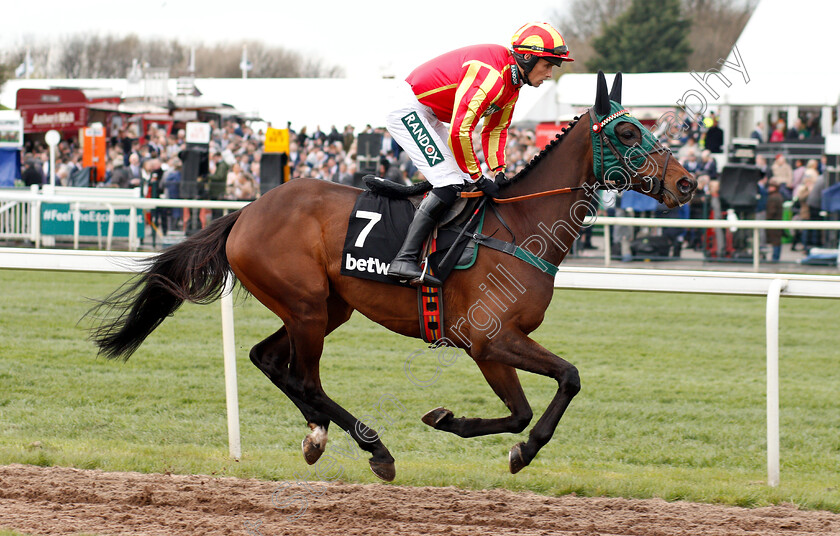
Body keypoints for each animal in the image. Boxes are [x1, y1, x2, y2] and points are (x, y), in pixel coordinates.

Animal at [90, 72, 696, 482]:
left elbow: (523, 410)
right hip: (306, 305)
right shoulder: (488, 338)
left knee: (269, 360)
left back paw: (318, 434)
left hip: (326, 307)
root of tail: (247, 210)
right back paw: (372, 448)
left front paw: (463, 425)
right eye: (627, 131)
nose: (687, 183)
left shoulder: (494, 344)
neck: (521, 226)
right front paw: (517, 449)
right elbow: (566, 379)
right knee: (305, 378)